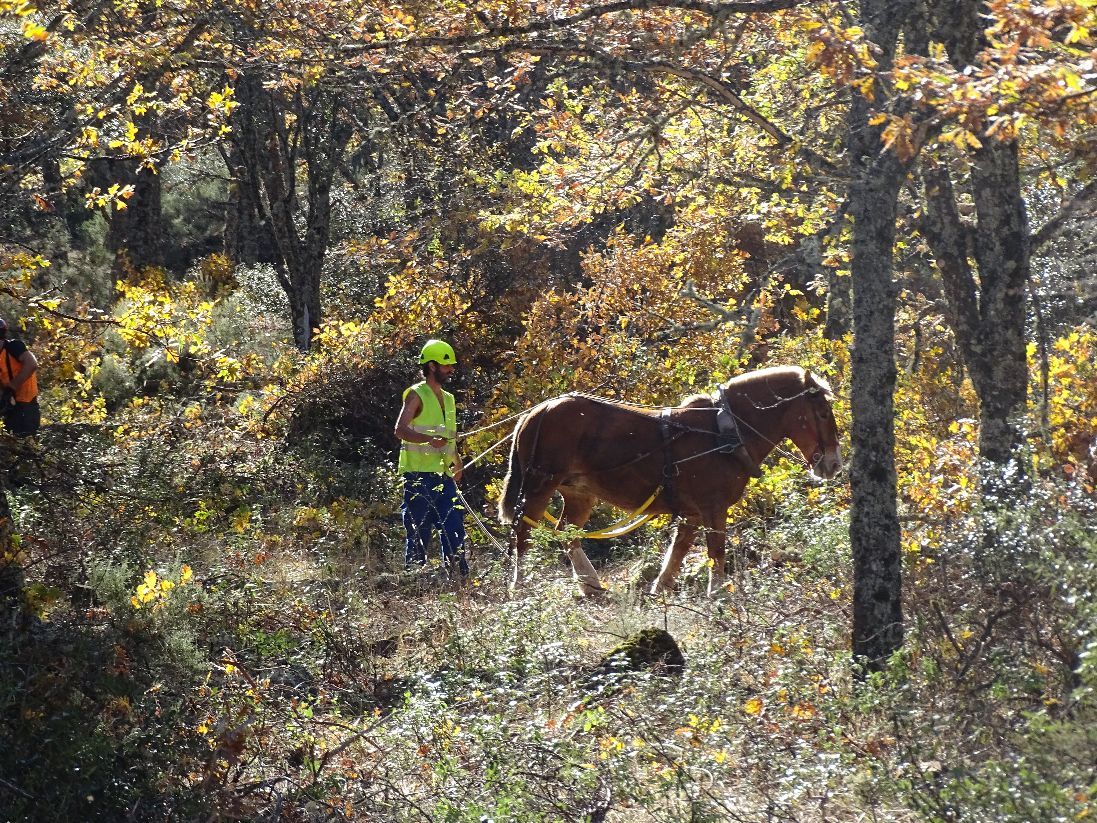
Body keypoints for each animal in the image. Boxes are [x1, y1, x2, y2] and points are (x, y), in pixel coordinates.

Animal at [498, 366, 838, 592]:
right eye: (822, 412)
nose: (833, 464)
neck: (723, 433)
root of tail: (535, 413)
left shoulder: (692, 513)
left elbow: (678, 552)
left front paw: (659, 589)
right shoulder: (713, 507)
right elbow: (716, 552)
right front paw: (719, 595)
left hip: (579, 492)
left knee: (567, 533)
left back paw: (590, 585)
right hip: (540, 485)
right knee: (523, 534)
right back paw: (520, 587)